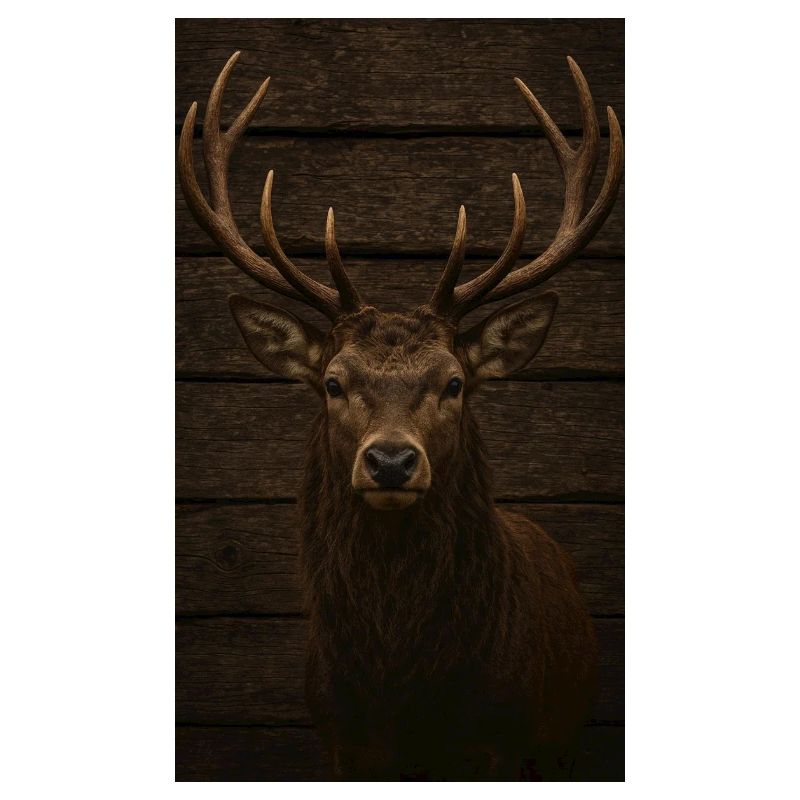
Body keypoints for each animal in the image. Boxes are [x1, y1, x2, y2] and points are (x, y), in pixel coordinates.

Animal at [178, 52, 623, 781]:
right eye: (333, 382)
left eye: (455, 382)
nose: (390, 460)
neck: (404, 697)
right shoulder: (340, 744)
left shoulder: (505, 746)